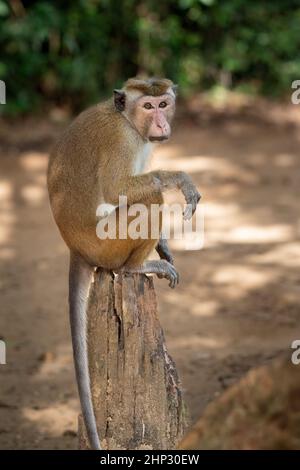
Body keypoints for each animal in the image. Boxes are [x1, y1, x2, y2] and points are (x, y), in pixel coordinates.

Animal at [47, 77, 200, 448]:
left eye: (163, 104)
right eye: (148, 106)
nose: (160, 123)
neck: (128, 120)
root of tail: (75, 248)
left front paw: (163, 243)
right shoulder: (123, 141)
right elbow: (119, 188)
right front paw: (180, 178)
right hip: (107, 244)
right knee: (150, 198)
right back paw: (134, 267)